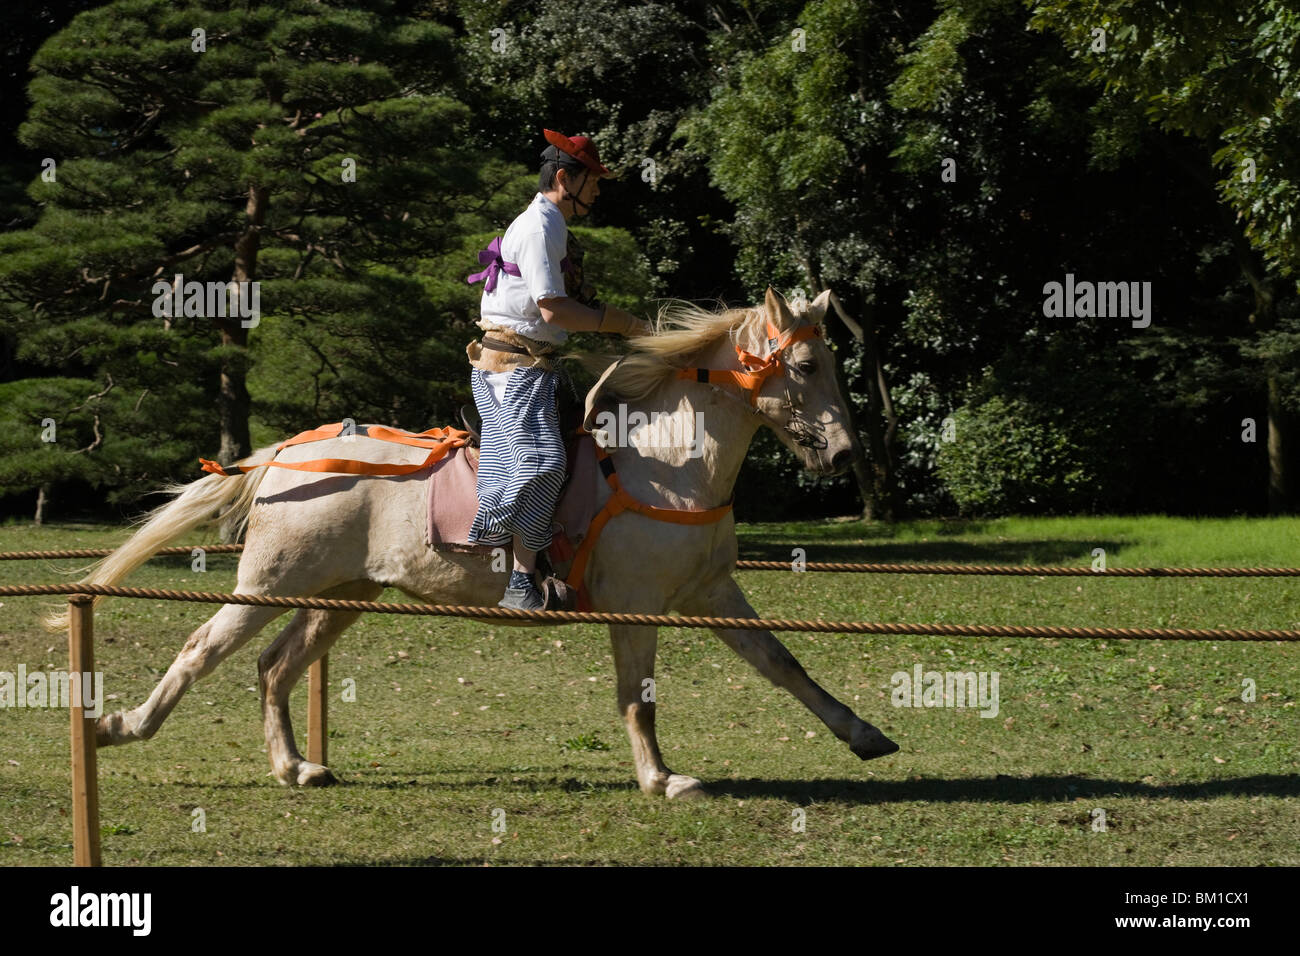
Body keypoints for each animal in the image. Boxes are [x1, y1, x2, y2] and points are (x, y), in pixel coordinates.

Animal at [49, 287, 899, 799]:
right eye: (806, 363)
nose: (845, 456)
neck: (665, 462)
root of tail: (286, 453)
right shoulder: (636, 606)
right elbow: (638, 696)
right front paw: (663, 779)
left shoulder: (710, 591)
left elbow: (783, 663)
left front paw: (864, 734)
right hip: (267, 583)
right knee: (204, 648)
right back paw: (121, 727)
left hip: (342, 595)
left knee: (274, 666)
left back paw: (295, 765)